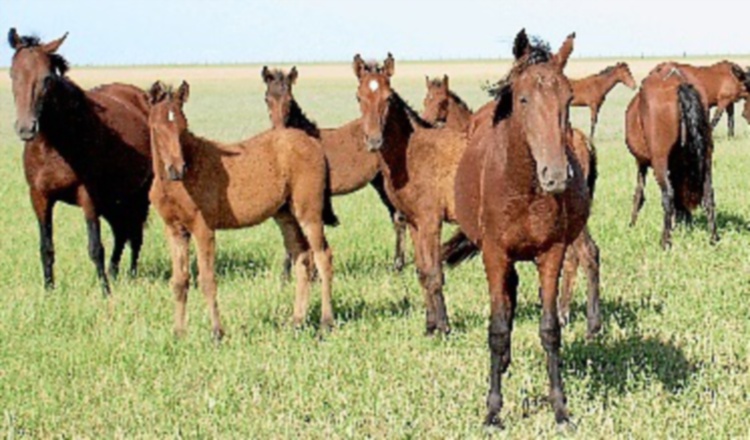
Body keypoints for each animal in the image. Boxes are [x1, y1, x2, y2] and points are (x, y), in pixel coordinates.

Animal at [6, 29, 151, 294]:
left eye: (46, 78)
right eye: (13, 74)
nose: (26, 128)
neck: (54, 146)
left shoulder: (88, 196)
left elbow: (95, 247)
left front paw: (105, 292)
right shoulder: (39, 197)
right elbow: (46, 247)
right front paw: (49, 291)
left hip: (139, 193)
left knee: (134, 235)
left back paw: (130, 274)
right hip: (114, 199)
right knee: (121, 232)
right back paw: (115, 273)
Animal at [147, 81, 334, 338]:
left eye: (183, 127)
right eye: (157, 128)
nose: (177, 169)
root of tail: (314, 144)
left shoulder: (203, 228)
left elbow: (207, 280)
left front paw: (217, 333)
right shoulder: (175, 230)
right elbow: (179, 281)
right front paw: (178, 333)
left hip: (309, 211)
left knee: (323, 256)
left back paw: (326, 323)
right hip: (285, 215)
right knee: (302, 257)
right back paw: (296, 321)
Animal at [262, 65, 408, 274]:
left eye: (289, 100)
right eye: (267, 99)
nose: (279, 132)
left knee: (399, 217)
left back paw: (399, 265)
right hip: (380, 183)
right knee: (396, 217)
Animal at [446, 30, 600, 426]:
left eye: (569, 97)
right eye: (524, 98)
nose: (557, 175)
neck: (522, 188)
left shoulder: (551, 254)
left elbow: (550, 328)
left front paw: (560, 409)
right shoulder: (495, 254)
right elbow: (498, 329)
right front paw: (492, 411)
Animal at [624, 63, 720, 248]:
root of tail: (679, 82)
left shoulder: (641, 162)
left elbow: (639, 194)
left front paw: (631, 225)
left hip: (659, 161)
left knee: (667, 195)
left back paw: (665, 241)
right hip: (706, 158)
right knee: (709, 196)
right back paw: (713, 238)